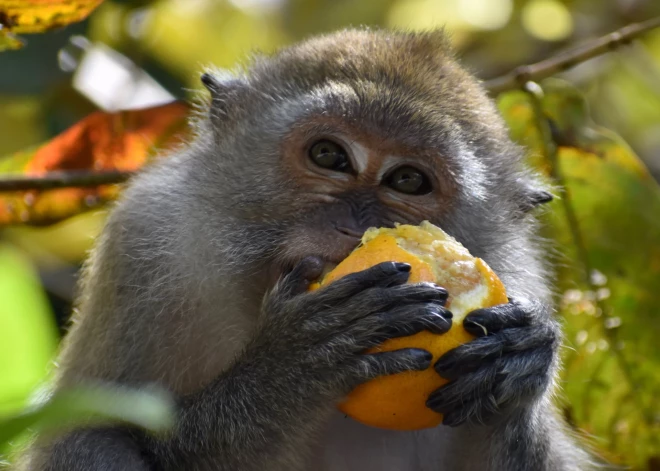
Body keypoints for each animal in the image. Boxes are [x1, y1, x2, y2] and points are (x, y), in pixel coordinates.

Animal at [19, 27, 600, 470]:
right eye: (329, 156)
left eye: (408, 181)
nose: (349, 228)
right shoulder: (145, 241)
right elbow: (101, 432)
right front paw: (291, 367)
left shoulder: (522, 275)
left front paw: (522, 361)